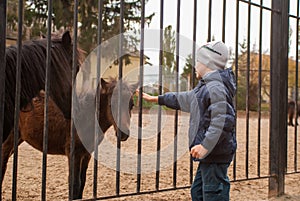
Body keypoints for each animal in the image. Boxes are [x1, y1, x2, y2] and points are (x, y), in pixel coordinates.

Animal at [0, 77, 137, 199]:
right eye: (111, 104)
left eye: (132, 105)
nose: (123, 134)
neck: (84, 115)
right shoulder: (74, 153)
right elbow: (74, 184)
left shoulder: (86, 154)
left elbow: (82, 182)